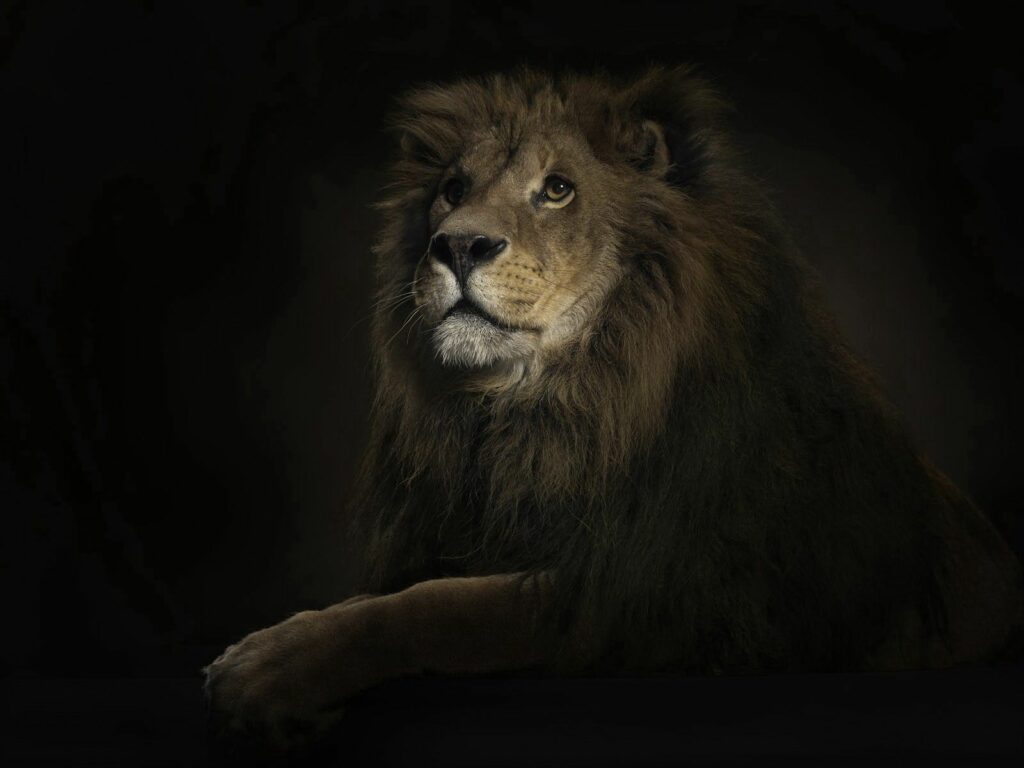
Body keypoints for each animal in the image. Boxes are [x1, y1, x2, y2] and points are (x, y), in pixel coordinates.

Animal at [204, 66, 1024, 748]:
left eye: (557, 189)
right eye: (452, 188)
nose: (457, 245)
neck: (542, 412)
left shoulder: (648, 595)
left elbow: (440, 607)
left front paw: (266, 666)